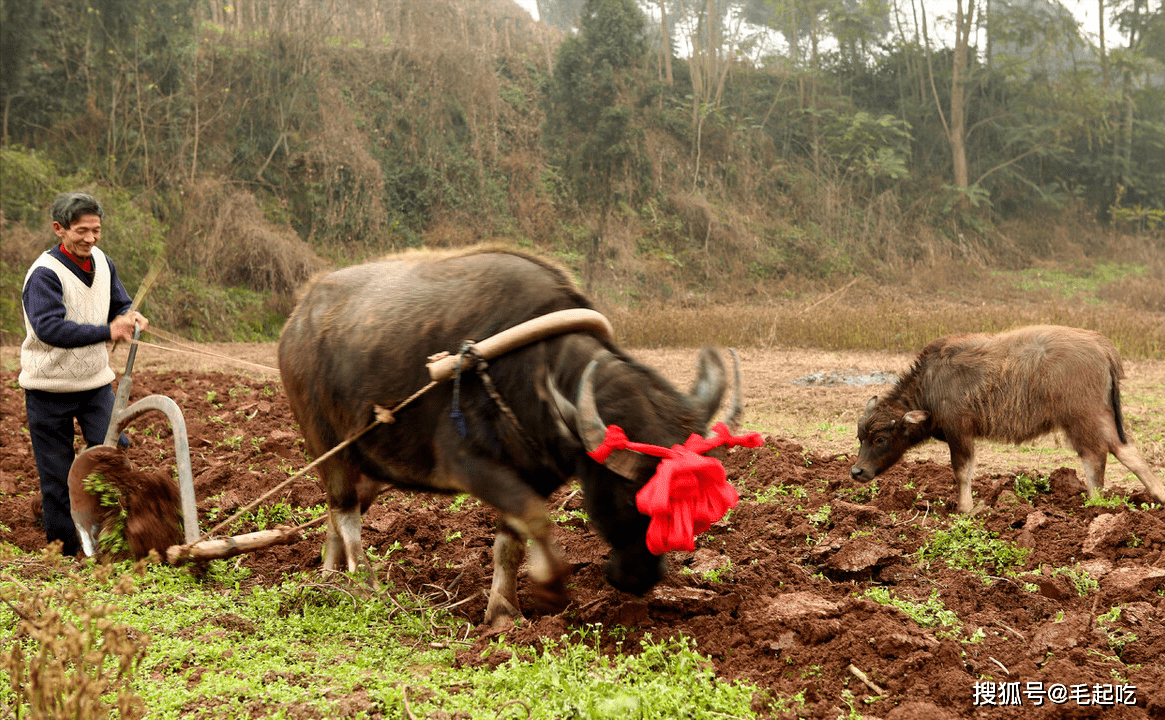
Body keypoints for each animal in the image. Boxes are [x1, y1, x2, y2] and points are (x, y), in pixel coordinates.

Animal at [277, 248, 726, 624]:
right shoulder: (469, 465)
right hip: (325, 443)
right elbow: (536, 520)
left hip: (367, 462)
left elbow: (510, 544)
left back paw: (327, 578)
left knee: (336, 511)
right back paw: (364, 586)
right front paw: (550, 589)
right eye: (633, 496)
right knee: (345, 511)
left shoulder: (533, 473)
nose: (639, 579)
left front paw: (503, 611)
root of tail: (296, 319)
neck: (539, 374)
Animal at [848, 321, 1165, 512]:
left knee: (1095, 455)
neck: (930, 384)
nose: (857, 472)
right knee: (1125, 449)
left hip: (1082, 416)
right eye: (860, 437)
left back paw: (1095, 503)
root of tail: (1101, 345)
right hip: (1100, 413)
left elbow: (962, 470)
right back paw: (1157, 494)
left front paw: (966, 508)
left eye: (880, 438)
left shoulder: (960, 430)